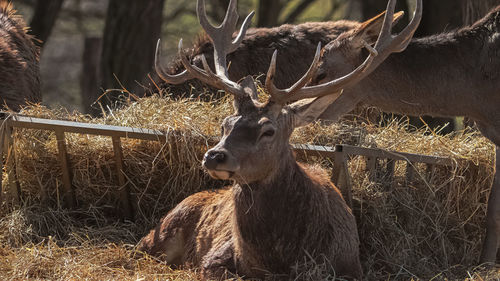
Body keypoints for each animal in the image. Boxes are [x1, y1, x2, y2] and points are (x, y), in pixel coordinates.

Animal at [138, 0, 422, 276]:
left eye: (268, 130)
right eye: (224, 124)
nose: (214, 156)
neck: (278, 260)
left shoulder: (351, 266)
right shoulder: (214, 258)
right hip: (160, 233)